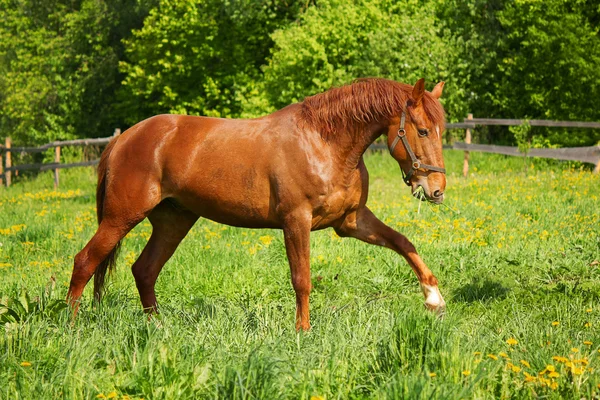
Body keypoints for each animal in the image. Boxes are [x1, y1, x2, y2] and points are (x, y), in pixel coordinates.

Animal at [68, 76, 448, 330]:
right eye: (422, 130)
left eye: (440, 129)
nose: (437, 189)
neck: (323, 143)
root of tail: (124, 139)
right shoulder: (296, 221)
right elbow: (301, 278)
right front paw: (303, 330)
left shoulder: (351, 221)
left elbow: (403, 242)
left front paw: (434, 299)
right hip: (121, 217)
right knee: (85, 261)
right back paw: (71, 327)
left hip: (173, 222)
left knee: (144, 270)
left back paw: (157, 327)